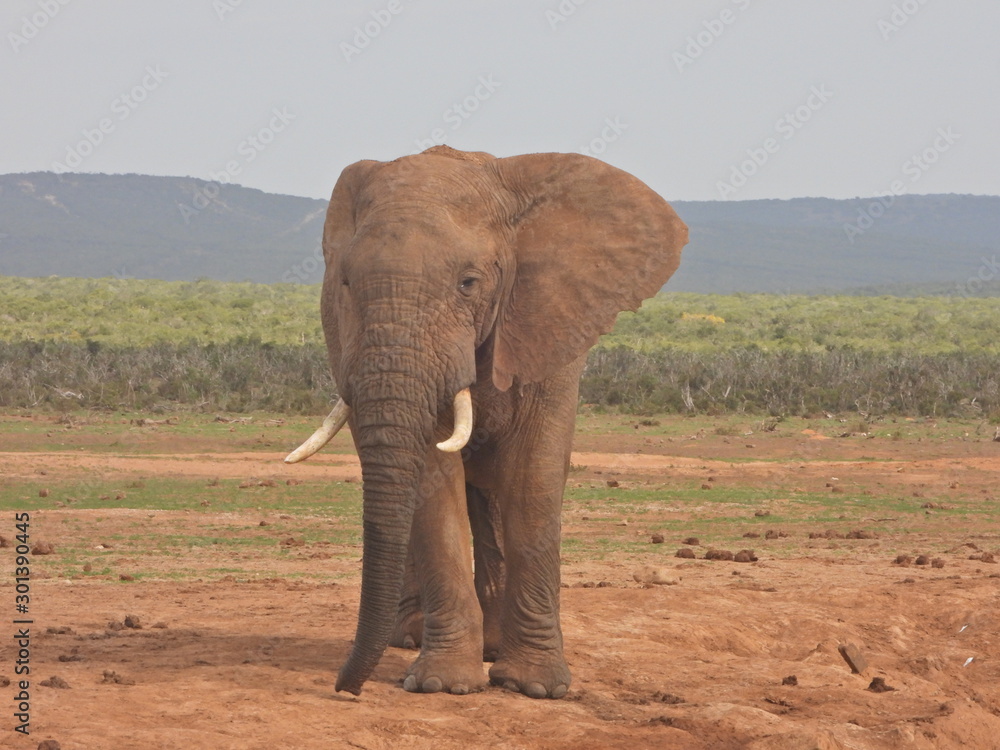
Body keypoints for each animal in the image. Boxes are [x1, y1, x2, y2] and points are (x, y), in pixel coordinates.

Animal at [286, 145, 684, 700]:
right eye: (344, 283)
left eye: (468, 283)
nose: (346, 688)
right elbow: (434, 482)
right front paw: (444, 685)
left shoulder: (552, 318)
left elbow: (534, 476)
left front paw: (535, 687)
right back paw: (412, 638)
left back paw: (492, 648)